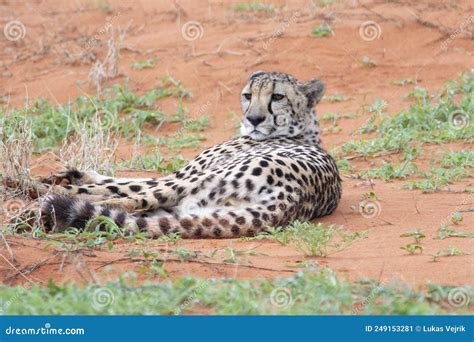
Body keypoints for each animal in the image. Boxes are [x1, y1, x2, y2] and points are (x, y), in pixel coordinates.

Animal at [25, 71, 342, 238]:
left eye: (277, 97)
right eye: (248, 95)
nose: (253, 119)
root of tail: (292, 198)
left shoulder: (184, 173)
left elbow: (126, 185)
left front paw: (37, 182)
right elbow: (118, 179)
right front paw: (71, 173)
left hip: (197, 180)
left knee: (126, 201)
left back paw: (39, 201)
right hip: (191, 206)